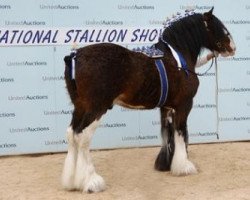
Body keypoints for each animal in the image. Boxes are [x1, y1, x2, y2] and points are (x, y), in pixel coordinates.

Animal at [61, 8, 235, 193]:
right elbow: (180, 132)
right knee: (82, 136)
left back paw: (71, 181)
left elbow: (167, 133)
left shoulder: (166, 107)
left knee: (72, 134)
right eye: (219, 27)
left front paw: (165, 164)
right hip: (96, 109)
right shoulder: (184, 105)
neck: (176, 58)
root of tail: (74, 57)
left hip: (80, 107)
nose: (232, 48)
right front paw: (183, 167)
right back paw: (91, 182)